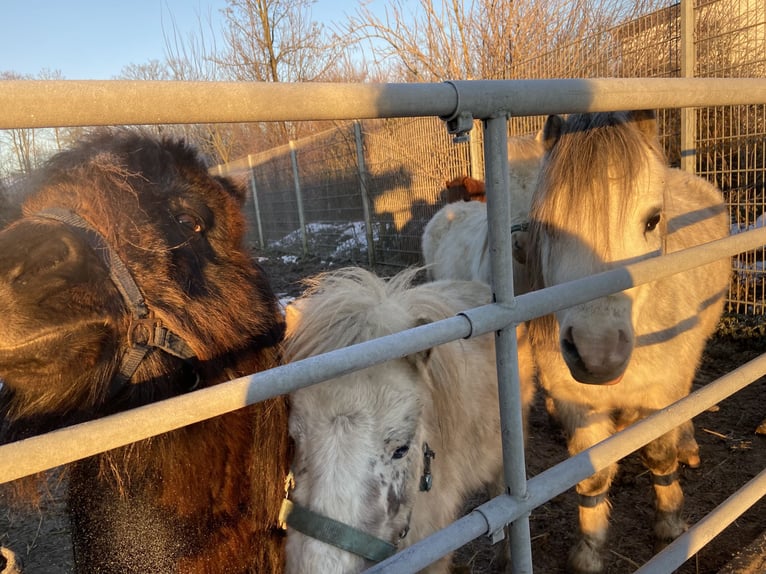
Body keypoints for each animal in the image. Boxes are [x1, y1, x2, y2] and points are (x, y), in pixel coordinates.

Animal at [526, 110, 730, 573]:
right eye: (546, 226)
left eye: (652, 220)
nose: (597, 354)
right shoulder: (576, 402)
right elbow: (592, 476)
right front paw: (588, 552)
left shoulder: (661, 394)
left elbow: (660, 456)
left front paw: (671, 524)